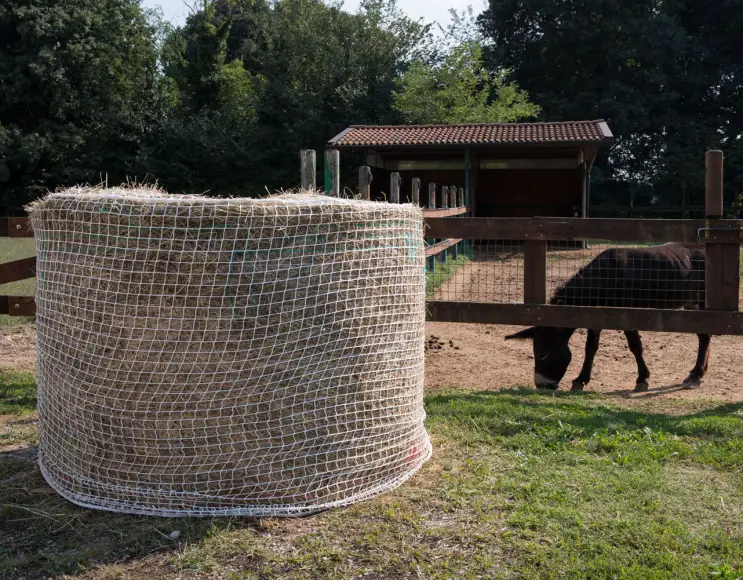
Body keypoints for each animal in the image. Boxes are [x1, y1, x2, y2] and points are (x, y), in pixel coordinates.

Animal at [506, 242, 708, 392]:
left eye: (542, 354)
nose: (541, 385)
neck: (604, 278)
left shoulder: (627, 313)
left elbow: (635, 346)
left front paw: (642, 379)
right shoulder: (595, 316)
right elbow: (590, 348)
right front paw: (580, 380)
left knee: (705, 335)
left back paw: (696, 375)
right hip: (693, 303)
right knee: (703, 336)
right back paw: (699, 372)